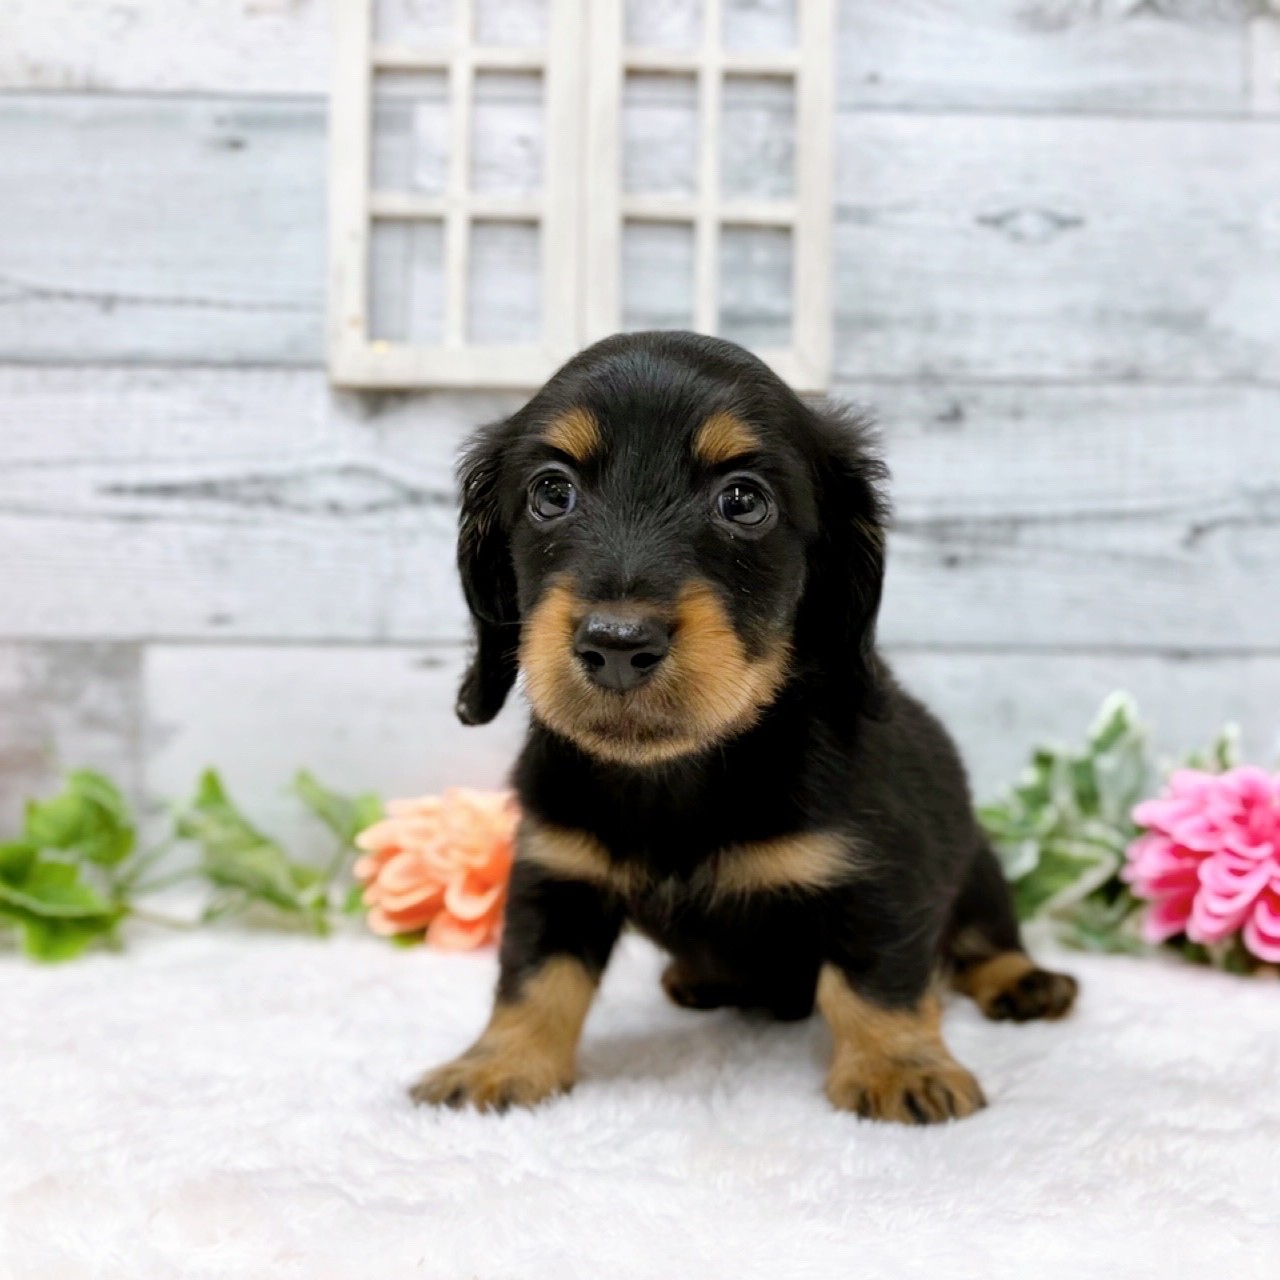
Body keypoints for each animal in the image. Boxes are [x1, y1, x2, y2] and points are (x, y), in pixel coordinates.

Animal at [411, 331, 1077, 1124]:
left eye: (742, 501)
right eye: (551, 492)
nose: (616, 644)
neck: (682, 774)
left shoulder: (879, 873)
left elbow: (877, 977)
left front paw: (899, 1066)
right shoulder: (556, 868)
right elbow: (534, 977)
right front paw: (499, 1062)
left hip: (978, 868)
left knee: (982, 938)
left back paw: (1023, 979)